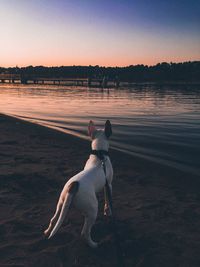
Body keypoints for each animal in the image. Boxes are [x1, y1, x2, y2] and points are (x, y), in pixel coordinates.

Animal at [44, 120, 113, 248]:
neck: (99, 155)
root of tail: (73, 186)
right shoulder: (109, 185)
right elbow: (108, 199)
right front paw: (108, 211)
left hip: (61, 203)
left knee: (53, 219)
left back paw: (47, 231)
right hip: (92, 209)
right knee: (85, 232)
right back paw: (93, 244)